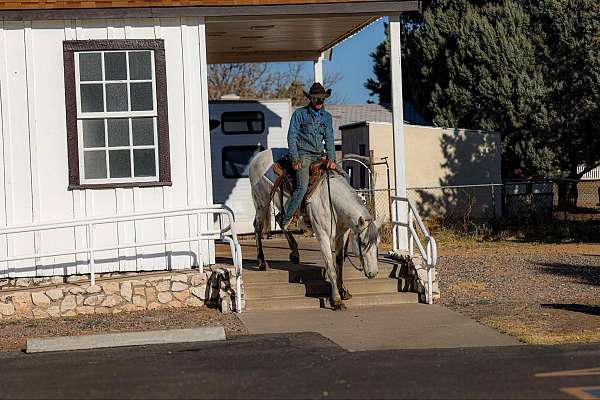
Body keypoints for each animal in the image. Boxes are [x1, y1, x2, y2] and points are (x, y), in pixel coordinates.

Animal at [250, 149, 384, 310]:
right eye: (363, 244)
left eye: (377, 244)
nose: (373, 273)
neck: (332, 201)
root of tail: (258, 157)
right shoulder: (323, 237)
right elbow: (331, 268)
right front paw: (336, 300)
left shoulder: (343, 235)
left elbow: (339, 264)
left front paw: (343, 291)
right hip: (261, 202)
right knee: (258, 226)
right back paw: (261, 262)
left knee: (280, 220)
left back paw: (295, 253)